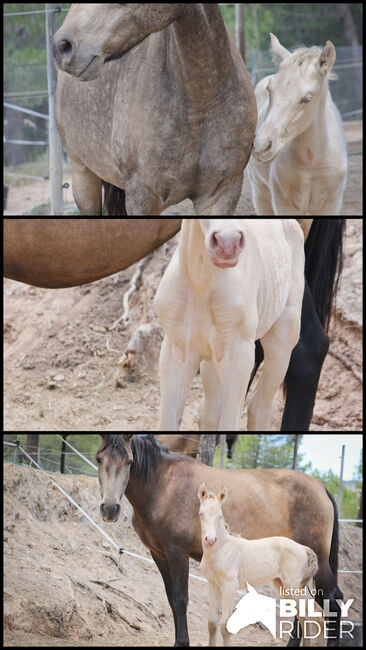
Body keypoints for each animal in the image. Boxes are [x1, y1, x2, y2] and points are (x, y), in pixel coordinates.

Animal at [96, 432, 344, 644]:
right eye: (99, 459)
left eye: (129, 461)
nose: (109, 509)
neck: (163, 485)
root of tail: (322, 488)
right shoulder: (159, 554)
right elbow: (172, 599)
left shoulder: (177, 553)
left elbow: (180, 599)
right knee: (303, 611)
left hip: (318, 566)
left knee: (332, 601)